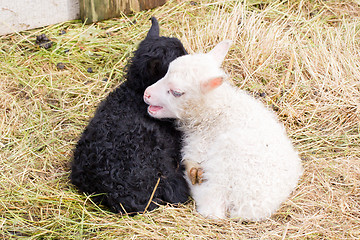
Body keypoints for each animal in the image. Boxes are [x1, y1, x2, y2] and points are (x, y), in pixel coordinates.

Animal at [142, 39, 302, 221]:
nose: (147, 94)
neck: (216, 111)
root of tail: (249, 208)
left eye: (176, 92)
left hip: (224, 165)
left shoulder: (199, 145)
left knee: (212, 209)